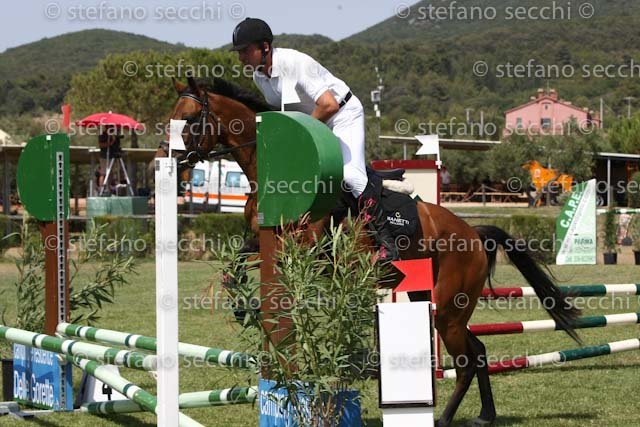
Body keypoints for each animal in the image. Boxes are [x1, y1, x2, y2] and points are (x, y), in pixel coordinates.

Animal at [162, 76, 582, 427]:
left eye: (189, 119)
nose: (170, 159)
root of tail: (474, 234)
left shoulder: (306, 250)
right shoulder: (261, 242)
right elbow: (233, 266)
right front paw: (242, 305)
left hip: (448, 308)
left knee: (465, 360)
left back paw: (446, 419)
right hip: (430, 297)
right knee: (477, 351)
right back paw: (484, 415)